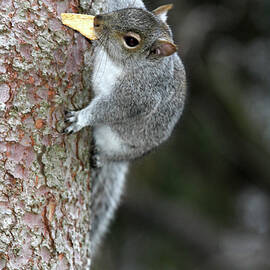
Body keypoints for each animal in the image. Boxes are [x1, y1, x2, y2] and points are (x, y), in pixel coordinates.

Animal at [63, 0, 186, 258]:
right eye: (130, 11)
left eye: (131, 41)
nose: (97, 20)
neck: (114, 61)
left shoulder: (134, 99)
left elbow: (107, 110)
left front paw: (80, 118)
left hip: (122, 145)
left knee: (111, 154)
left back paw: (100, 155)